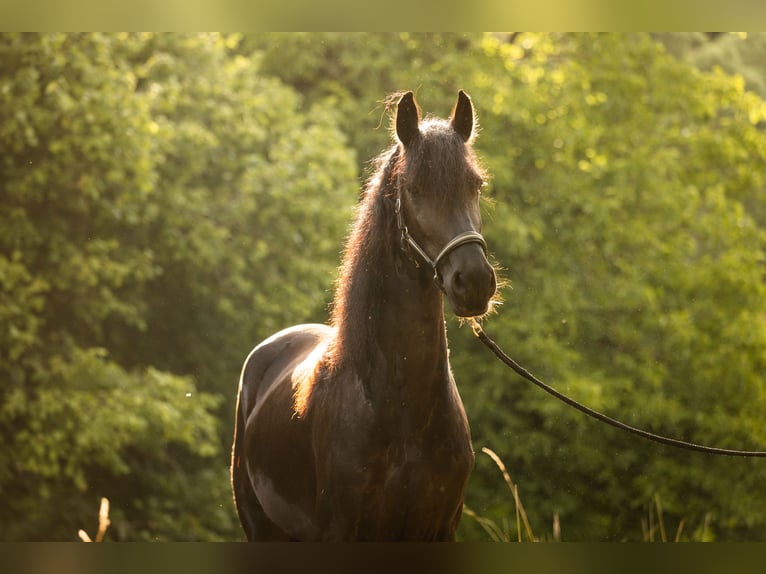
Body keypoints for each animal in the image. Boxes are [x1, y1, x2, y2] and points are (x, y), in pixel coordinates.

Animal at [231, 90, 497, 541]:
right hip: (261, 527)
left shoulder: (441, 527)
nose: (475, 281)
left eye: (475, 184)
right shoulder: (342, 528)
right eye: (414, 188)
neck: (401, 409)